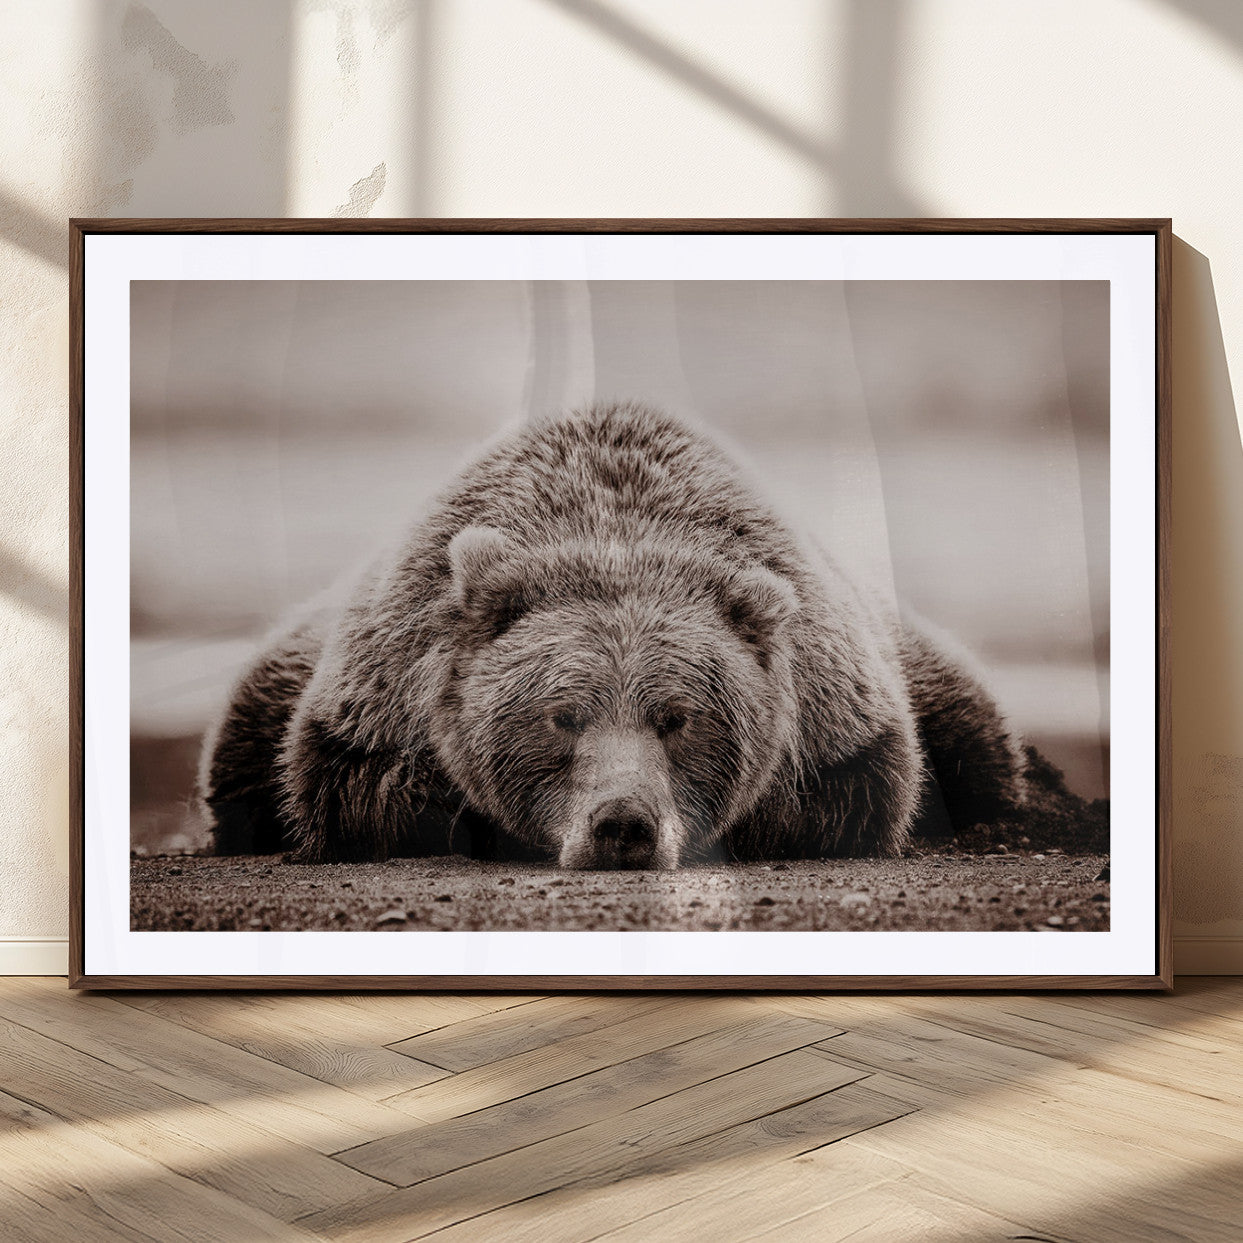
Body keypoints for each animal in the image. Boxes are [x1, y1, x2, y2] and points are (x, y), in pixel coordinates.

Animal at [199, 401, 1026, 869]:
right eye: (561, 715)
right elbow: (360, 786)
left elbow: (852, 790)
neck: (613, 526)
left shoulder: (836, 705)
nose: (622, 824)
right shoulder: (379, 688)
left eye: (678, 717)